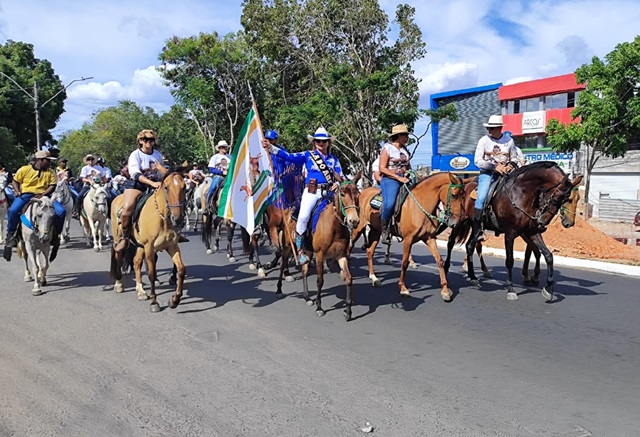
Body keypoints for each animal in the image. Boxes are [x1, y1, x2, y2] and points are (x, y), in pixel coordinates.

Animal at [278, 177, 362, 320]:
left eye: (358, 194)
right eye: (342, 194)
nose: (354, 221)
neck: (335, 227)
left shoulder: (341, 255)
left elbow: (349, 278)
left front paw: (348, 310)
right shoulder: (320, 255)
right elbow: (320, 280)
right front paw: (319, 307)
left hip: (307, 251)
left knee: (304, 271)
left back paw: (307, 297)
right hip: (287, 246)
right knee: (283, 264)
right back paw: (279, 288)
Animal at [350, 172, 464, 302]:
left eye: (463, 196)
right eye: (454, 195)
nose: (456, 223)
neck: (420, 205)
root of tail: (363, 192)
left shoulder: (429, 238)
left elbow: (439, 260)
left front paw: (445, 290)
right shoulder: (408, 239)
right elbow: (404, 262)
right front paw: (403, 288)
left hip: (375, 231)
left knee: (370, 252)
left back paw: (374, 278)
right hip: (357, 228)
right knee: (350, 246)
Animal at [458, 162, 576, 302]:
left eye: (565, 200)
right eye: (557, 198)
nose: (542, 222)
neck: (521, 194)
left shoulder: (532, 232)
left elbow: (548, 256)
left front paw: (548, 289)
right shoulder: (510, 234)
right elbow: (510, 260)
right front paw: (510, 289)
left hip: (475, 228)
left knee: (469, 246)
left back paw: (473, 277)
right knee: (468, 245)